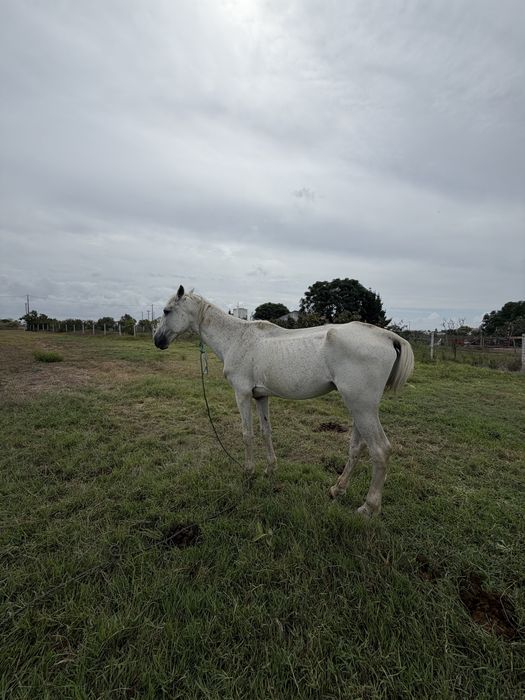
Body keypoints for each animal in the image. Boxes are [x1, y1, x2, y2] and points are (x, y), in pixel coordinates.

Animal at [154, 286, 414, 516]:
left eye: (167, 311)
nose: (157, 340)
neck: (237, 338)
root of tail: (388, 336)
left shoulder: (242, 394)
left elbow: (247, 434)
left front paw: (248, 473)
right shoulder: (261, 396)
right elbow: (265, 431)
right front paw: (270, 470)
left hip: (362, 408)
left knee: (380, 450)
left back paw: (368, 508)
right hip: (359, 408)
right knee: (357, 448)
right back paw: (337, 490)